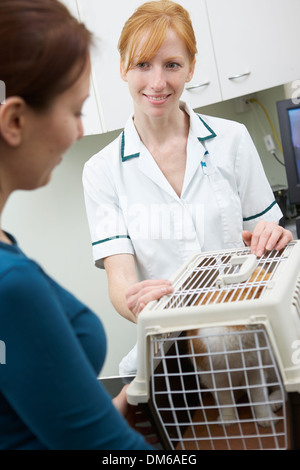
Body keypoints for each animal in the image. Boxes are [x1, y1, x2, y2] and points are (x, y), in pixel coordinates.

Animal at [126, 241, 300, 450]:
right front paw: (228, 419)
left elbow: (259, 398)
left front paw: (265, 418)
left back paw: (273, 402)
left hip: (271, 366)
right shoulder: (216, 375)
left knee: (280, 391)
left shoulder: (255, 372)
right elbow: (225, 399)